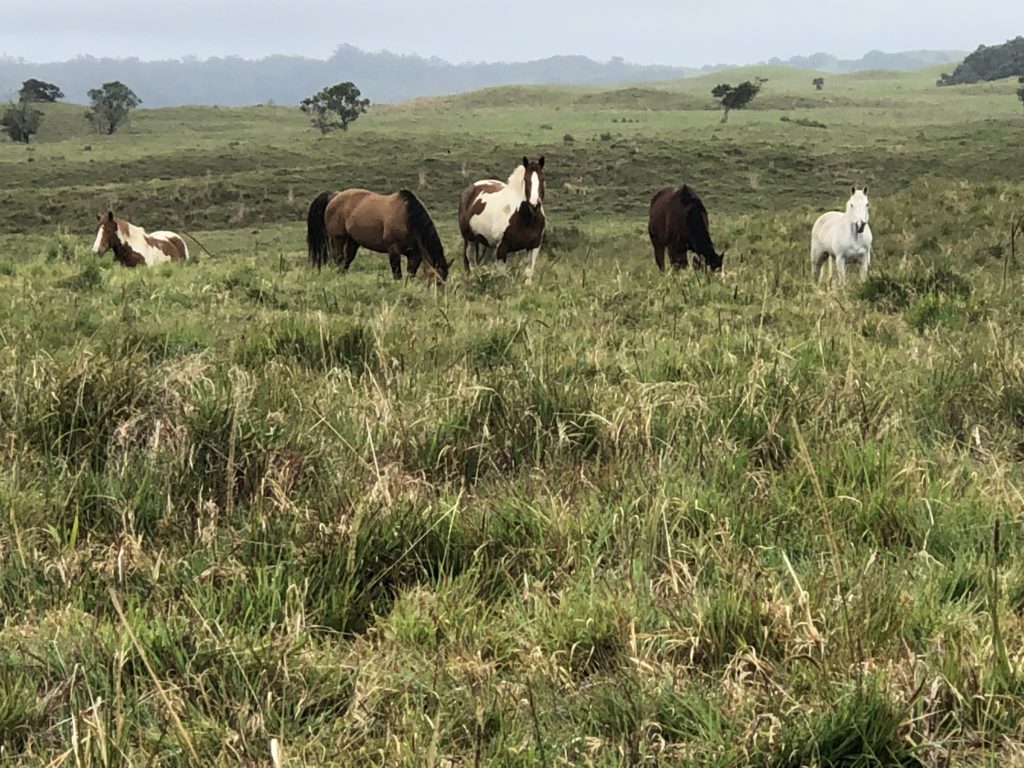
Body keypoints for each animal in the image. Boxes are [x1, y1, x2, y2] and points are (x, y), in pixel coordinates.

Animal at [303, 188, 448, 280]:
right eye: (436, 279)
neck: (407, 217)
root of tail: (334, 196)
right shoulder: (393, 249)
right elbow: (397, 274)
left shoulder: (414, 254)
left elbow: (410, 275)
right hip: (337, 238)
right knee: (338, 259)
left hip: (352, 241)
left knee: (346, 261)